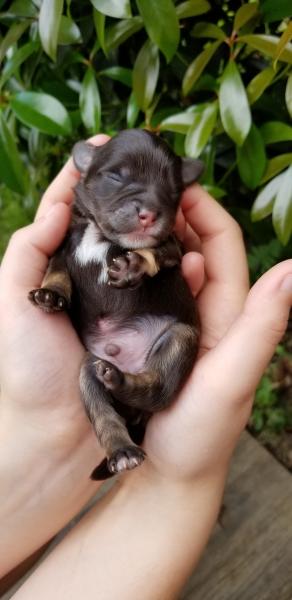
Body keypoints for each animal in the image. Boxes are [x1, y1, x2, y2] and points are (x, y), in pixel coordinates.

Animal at [29, 129, 203, 480]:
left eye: (174, 191)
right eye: (115, 176)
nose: (149, 212)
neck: (98, 235)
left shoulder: (173, 247)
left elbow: (153, 252)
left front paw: (132, 265)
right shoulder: (61, 248)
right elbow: (56, 270)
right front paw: (50, 294)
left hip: (180, 338)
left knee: (157, 388)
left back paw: (123, 382)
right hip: (88, 370)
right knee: (104, 414)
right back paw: (122, 451)